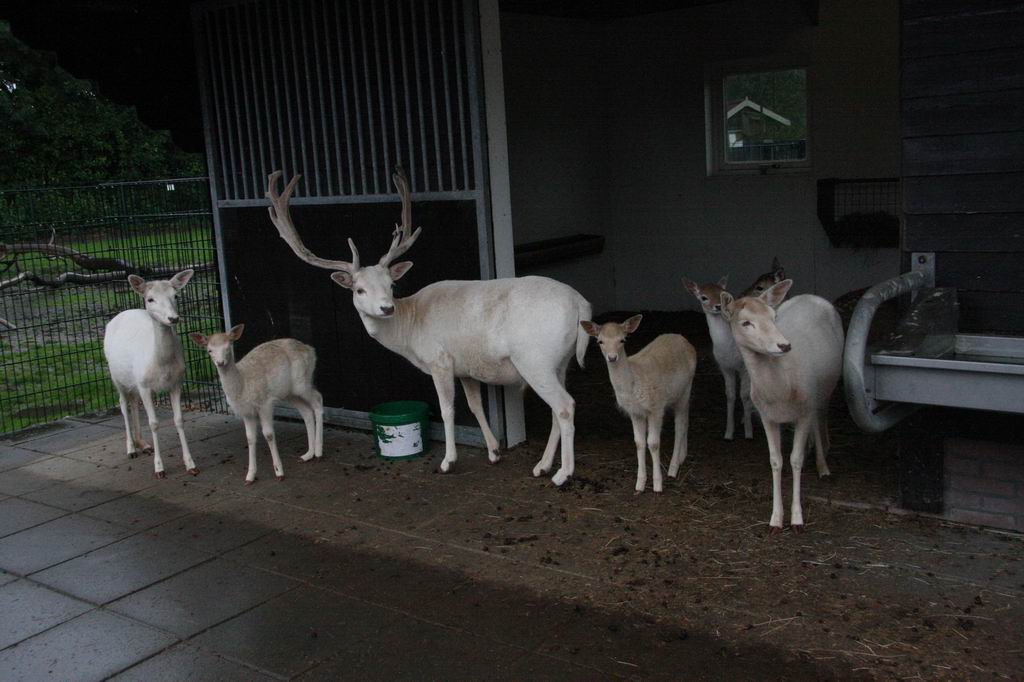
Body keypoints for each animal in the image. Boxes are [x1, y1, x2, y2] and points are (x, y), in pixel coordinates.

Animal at [103, 270, 198, 478]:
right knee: (123, 404)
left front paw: (191, 464)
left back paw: (143, 444)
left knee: (133, 402)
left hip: (134, 381)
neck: (162, 366)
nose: (173, 318)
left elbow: (179, 420)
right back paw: (131, 449)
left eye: (175, 296)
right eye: (150, 299)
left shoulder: (176, 382)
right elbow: (154, 423)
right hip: (116, 376)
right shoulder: (145, 385)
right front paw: (159, 469)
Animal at [189, 325, 323, 485]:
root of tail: (311, 350)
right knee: (306, 411)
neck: (242, 385)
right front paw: (250, 476)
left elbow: (268, 434)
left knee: (318, 400)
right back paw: (308, 454)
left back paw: (319, 452)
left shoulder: (264, 403)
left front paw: (279, 472)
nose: (220, 362)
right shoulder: (246, 412)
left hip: (302, 382)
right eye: (209, 350)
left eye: (228, 347)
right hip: (289, 393)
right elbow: (250, 438)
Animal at [265, 168, 592, 486]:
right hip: (560, 362)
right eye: (359, 289)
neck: (410, 330)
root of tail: (581, 304)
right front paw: (493, 452)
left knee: (565, 405)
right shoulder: (465, 368)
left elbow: (447, 410)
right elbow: (475, 406)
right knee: (556, 409)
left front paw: (448, 462)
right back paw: (542, 466)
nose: (386, 308)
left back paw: (563, 474)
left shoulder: (440, 359)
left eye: (391, 284)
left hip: (534, 359)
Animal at [580, 315, 696, 494]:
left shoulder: (656, 407)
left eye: (623, 339)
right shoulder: (634, 412)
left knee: (681, 425)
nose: (612, 357)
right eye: (600, 341)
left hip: (685, 389)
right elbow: (639, 442)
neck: (633, 385)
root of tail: (685, 341)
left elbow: (653, 443)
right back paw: (682, 456)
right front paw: (639, 484)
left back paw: (673, 467)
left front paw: (657, 485)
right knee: (686, 419)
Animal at [719, 280, 844, 535]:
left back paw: (823, 464)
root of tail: (811, 295)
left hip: (824, 390)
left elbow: (795, 459)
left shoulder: (805, 409)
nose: (784, 345)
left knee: (821, 415)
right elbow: (775, 461)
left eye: (773, 316)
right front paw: (775, 520)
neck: (780, 390)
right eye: (746, 322)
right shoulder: (767, 416)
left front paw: (797, 520)